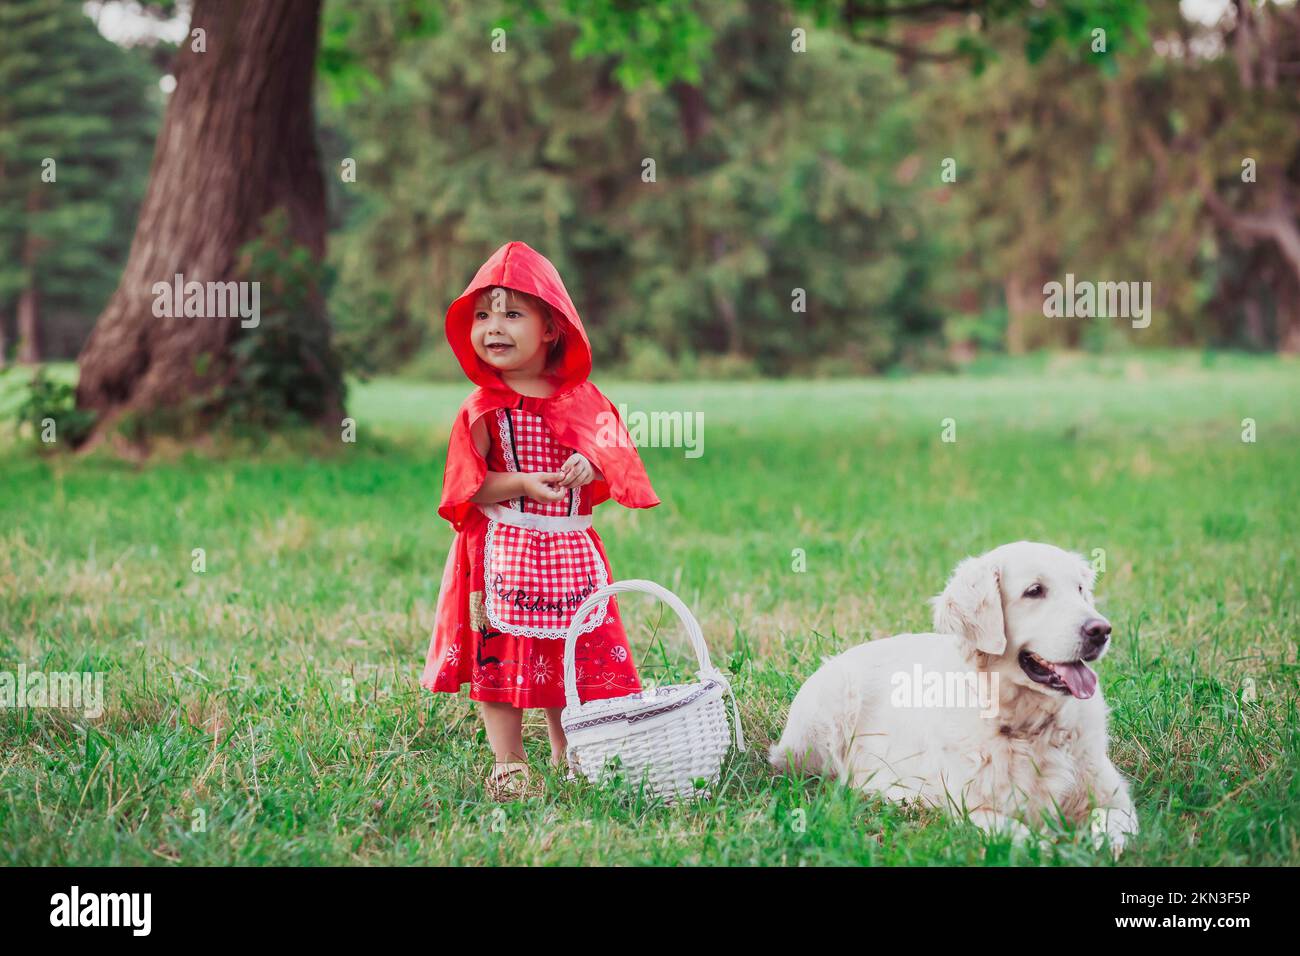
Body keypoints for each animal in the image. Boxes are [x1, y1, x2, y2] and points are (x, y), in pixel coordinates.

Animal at [769, 541, 1138, 858]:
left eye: (1080, 590)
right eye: (1035, 591)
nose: (1101, 630)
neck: (1028, 727)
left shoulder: (1114, 796)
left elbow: (1113, 825)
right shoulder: (974, 809)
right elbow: (1027, 837)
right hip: (832, 704)